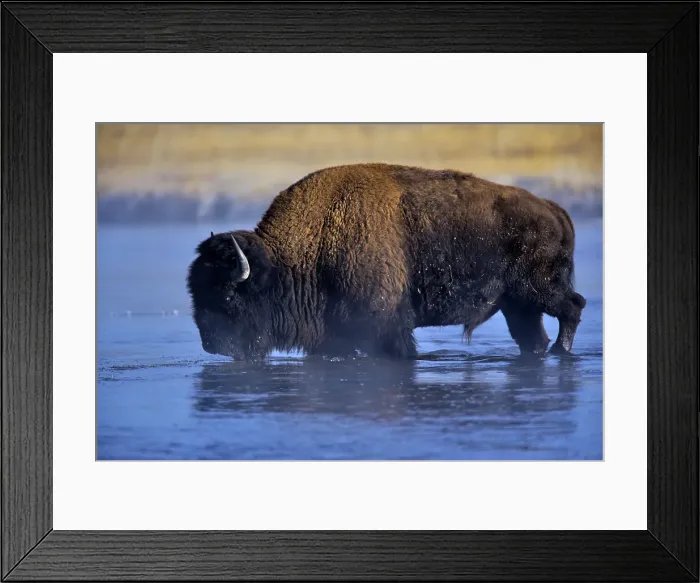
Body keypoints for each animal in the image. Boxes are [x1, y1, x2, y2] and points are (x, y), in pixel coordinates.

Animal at [187, 163, 586, 360]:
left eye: (228, 295)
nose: (212, 345)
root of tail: (552, 208)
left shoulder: (387, 326)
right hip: (517, 304)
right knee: (533, 335)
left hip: (538, 290)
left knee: (573, 307)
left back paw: (560, 353)